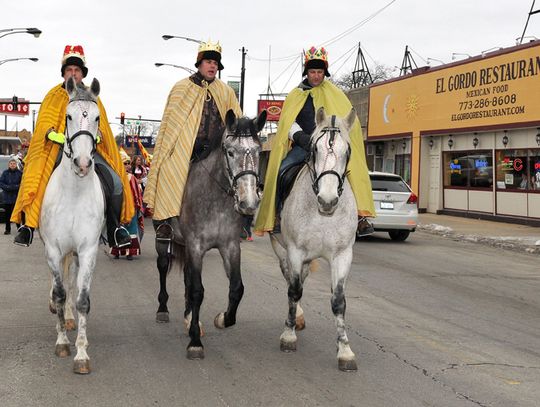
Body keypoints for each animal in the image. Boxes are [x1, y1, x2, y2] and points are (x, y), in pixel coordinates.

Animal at [154, 109, 266, 360]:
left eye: (257, 151)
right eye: (230, 151)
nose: (249, 203)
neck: (214, 198)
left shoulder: (229, 246)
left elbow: (237, 288)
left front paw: (223, 319)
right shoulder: (196, 246)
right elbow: (197, 291)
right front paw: (195, 342)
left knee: (187, 276)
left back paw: (188, 318)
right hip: (164, 238)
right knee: (163, 266)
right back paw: (163, 309)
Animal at [268, 106, 358, 372]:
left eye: (347, 151)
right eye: (315, 149)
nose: (327, 201)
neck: (323, 215)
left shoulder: (342, 255)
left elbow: (338, 301)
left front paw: (345, 351)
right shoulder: (295, 251)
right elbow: (294, 290)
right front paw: (288, 336)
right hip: (281, 248)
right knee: (290, 279)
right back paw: (295, 318)